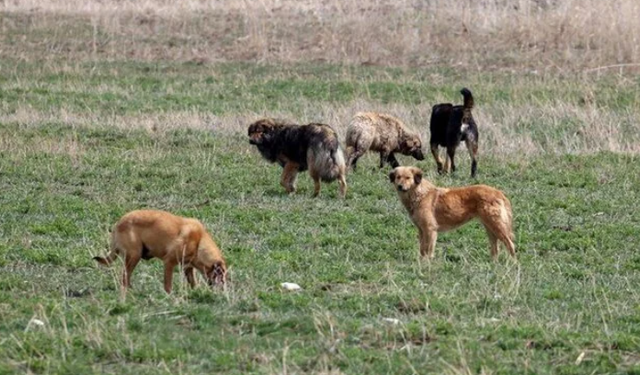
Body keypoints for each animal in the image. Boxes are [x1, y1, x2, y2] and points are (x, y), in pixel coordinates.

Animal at [93, 212, 228, 294]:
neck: (199, 242)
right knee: (124, 276)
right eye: (221, 275)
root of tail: (118, 224)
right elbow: (168, 284)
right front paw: (169, 296)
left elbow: (193, 283)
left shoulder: (187, 268)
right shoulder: (169, 262)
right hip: (134, 255)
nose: (224, 290)